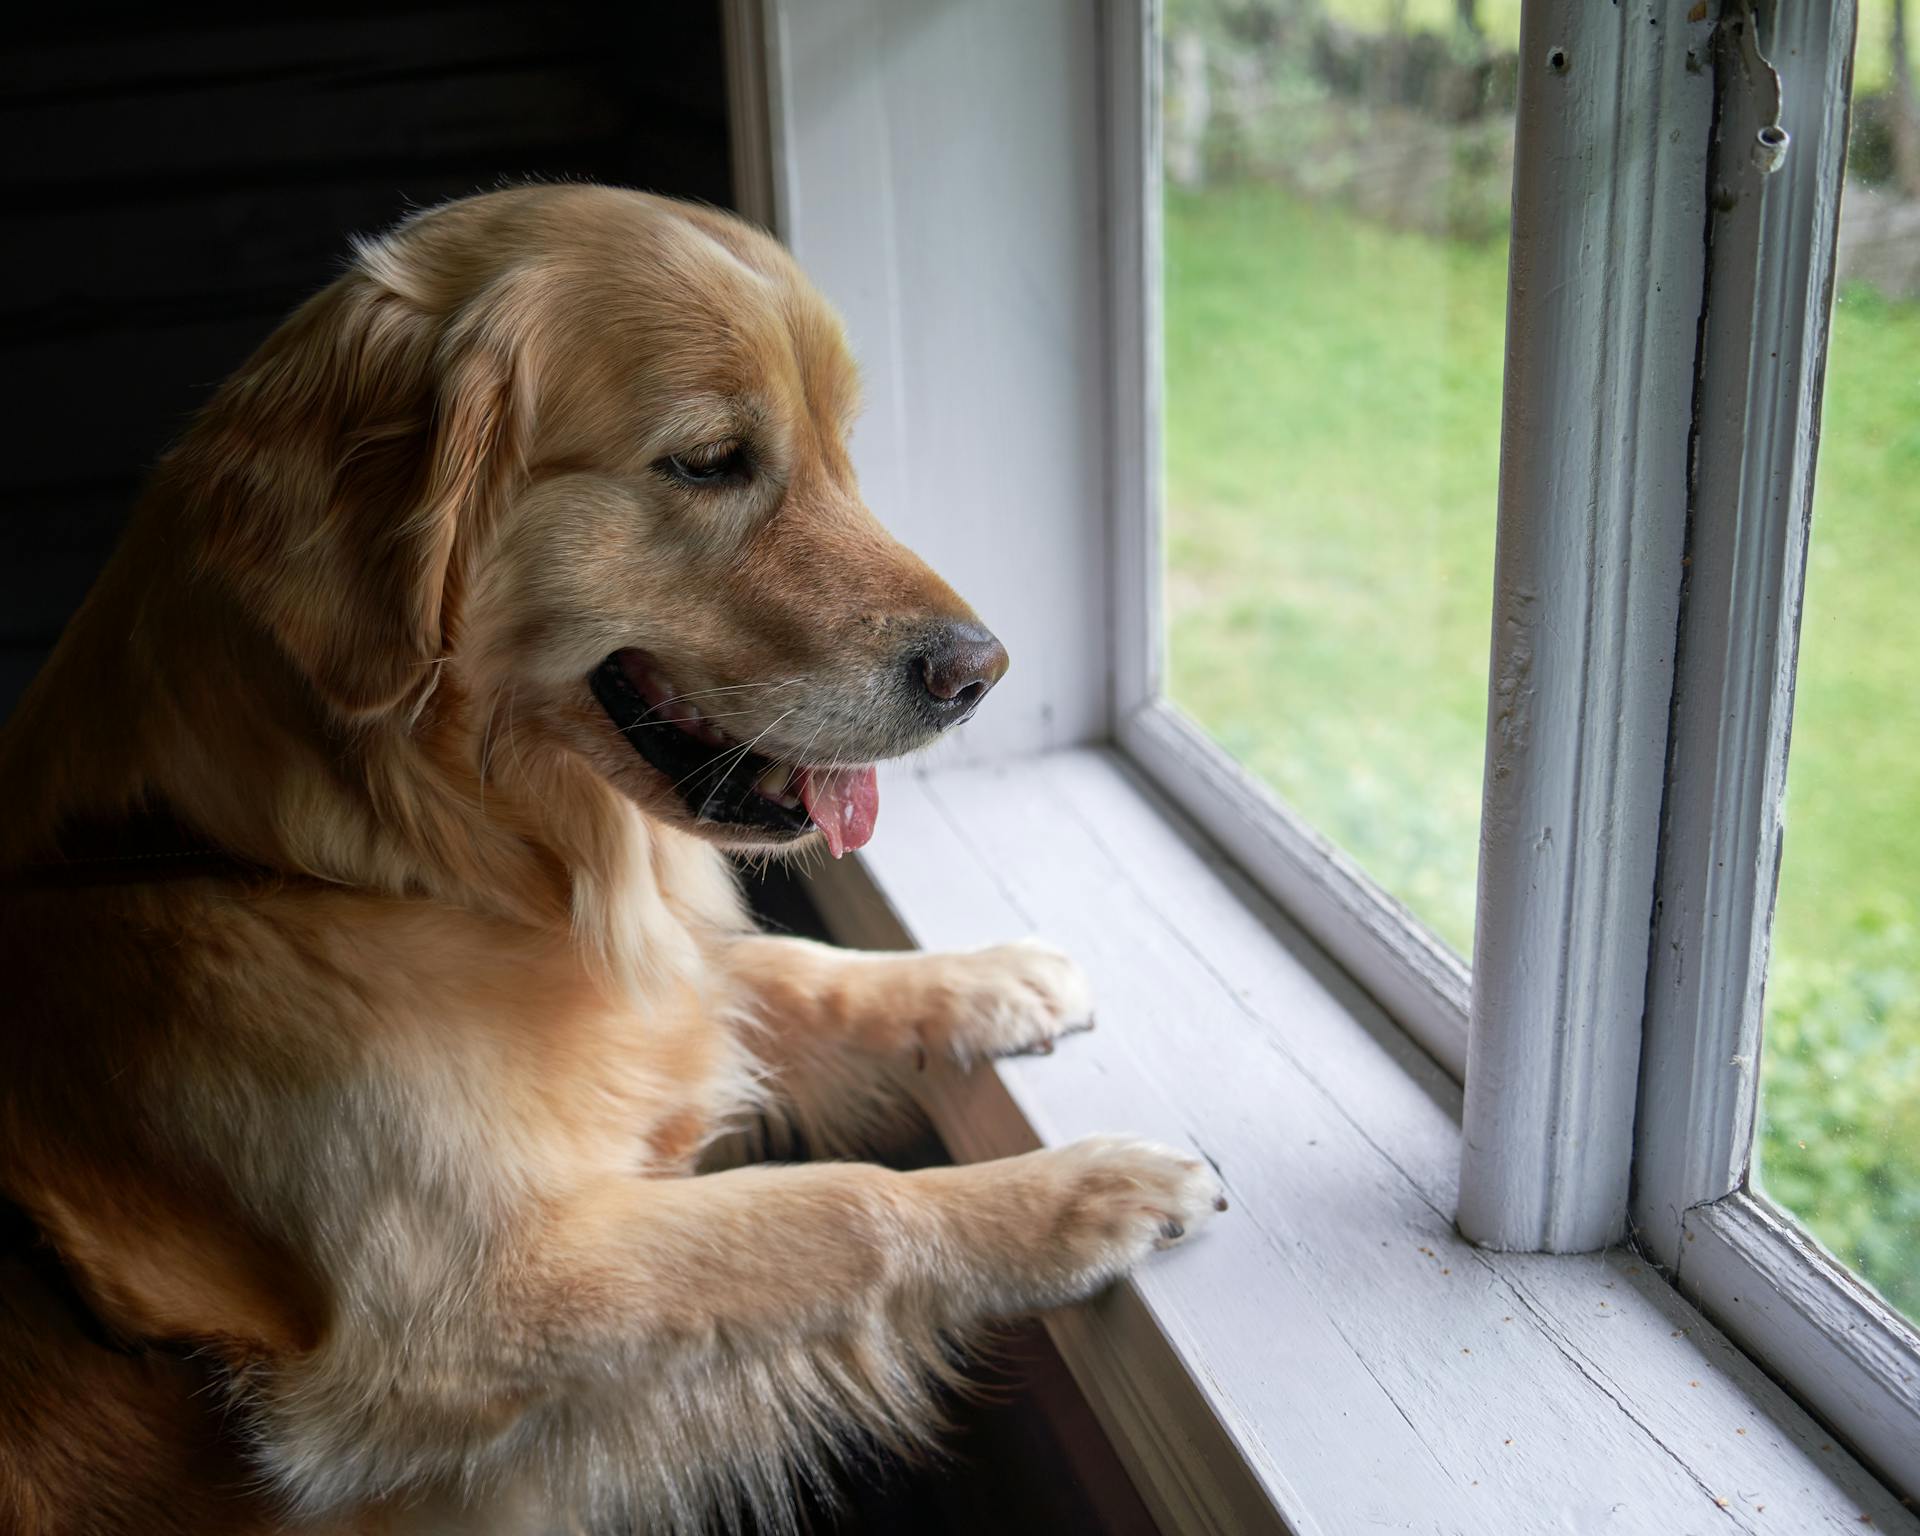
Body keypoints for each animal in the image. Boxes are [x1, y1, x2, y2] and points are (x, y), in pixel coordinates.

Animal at [0, 189, 1228, 1536]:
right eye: (708, 460)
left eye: (839, 444)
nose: (982, 673)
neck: (344, 863)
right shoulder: (456, 1313)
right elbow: (842, 1208)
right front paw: (1080, 1193)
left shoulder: (653, 991)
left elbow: (788, 967)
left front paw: (987, 980)